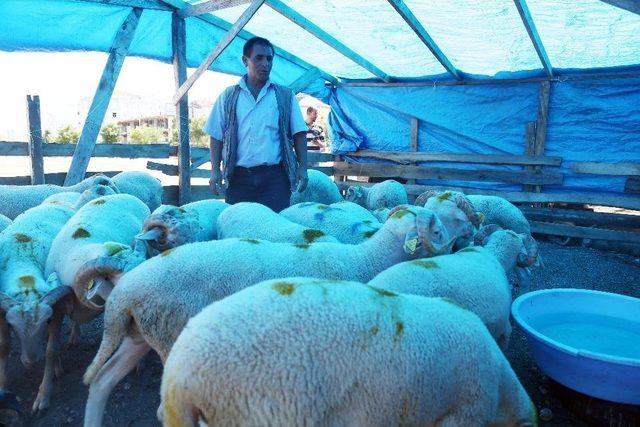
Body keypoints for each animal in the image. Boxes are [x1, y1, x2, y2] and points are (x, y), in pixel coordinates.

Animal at [0, 202, 76, 412]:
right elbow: (4, 347)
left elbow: (51, 351)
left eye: (47, 320)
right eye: (11, 325)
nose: (31, 362)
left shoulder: (57, 310)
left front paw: (43, 396)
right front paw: (2, 386)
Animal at [79, 206, 456, 426]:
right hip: (171, 340)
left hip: (140, 335)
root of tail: (125, 293)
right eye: (437, 230)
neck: (365, 259)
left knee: (101, 382)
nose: (455, 245)